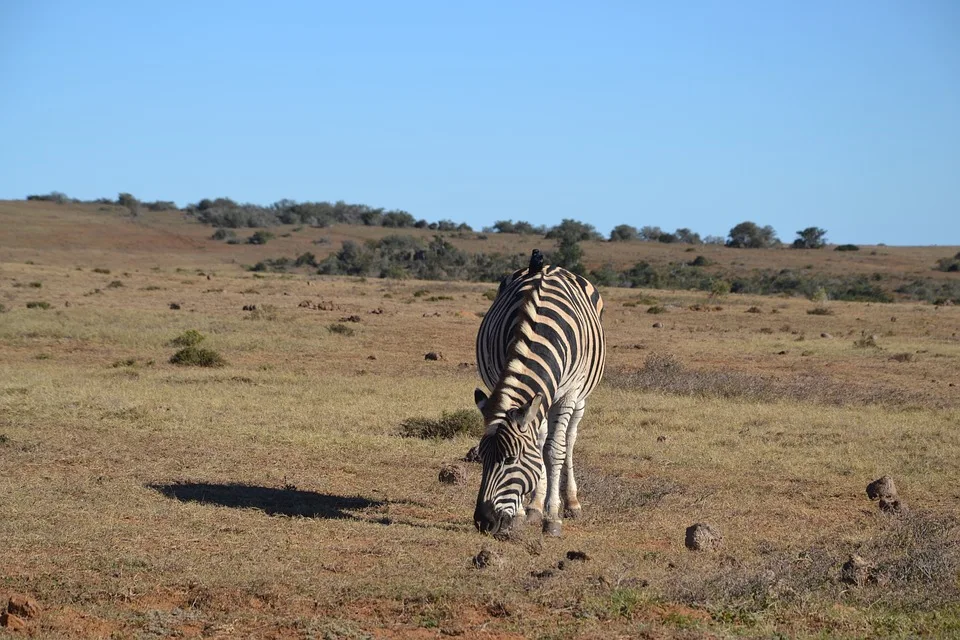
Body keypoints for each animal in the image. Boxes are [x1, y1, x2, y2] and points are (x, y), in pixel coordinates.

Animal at [474, 249, 604, 536]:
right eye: (480, 458)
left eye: (511, 459)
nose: (483, 522)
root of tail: (549, 266)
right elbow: (539, 445)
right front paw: (524, 512)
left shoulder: (567, 395)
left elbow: (555, 450)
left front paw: (552, 518)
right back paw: (535, 506)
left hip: (581, 398)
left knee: (569, 439)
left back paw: (571, 503)